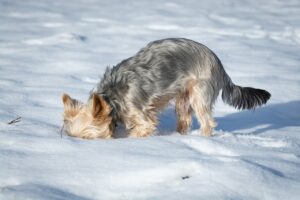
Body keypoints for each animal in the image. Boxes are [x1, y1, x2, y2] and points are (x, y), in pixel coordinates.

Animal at [61, 38, 272, 139]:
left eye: (89, 138)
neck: (111, 99)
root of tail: (219, 64)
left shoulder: (142, 117)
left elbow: (140, 130)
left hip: (199, 91)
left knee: (206, 122)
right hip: (182, 96)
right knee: (184, 119)